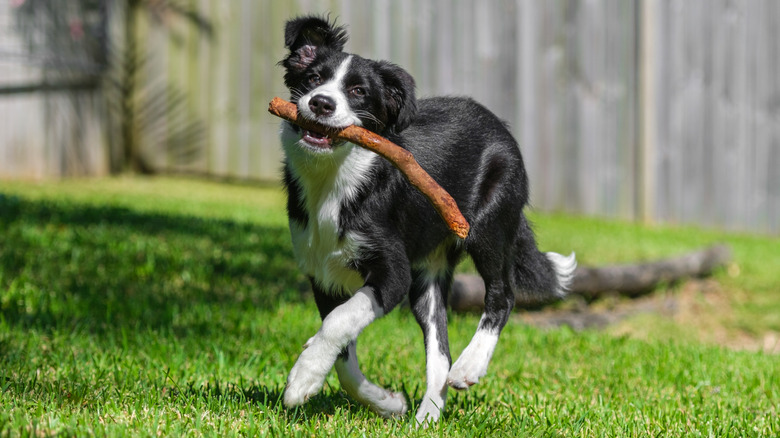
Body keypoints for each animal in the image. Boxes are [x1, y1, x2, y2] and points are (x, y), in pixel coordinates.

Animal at [278, 15, 576, 422]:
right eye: (311, 78)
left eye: (358, 91)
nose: (321, 103)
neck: (334, 179)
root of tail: (498, 124)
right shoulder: (324, 274)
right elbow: (342, 351)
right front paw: (385, 401)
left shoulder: (393, 273)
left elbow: (340, 320)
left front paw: (301, 378)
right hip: (428, 277)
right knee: (439, 348)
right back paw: (428, 416)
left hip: (488, 223)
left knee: (503, 295)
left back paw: (469, 366)